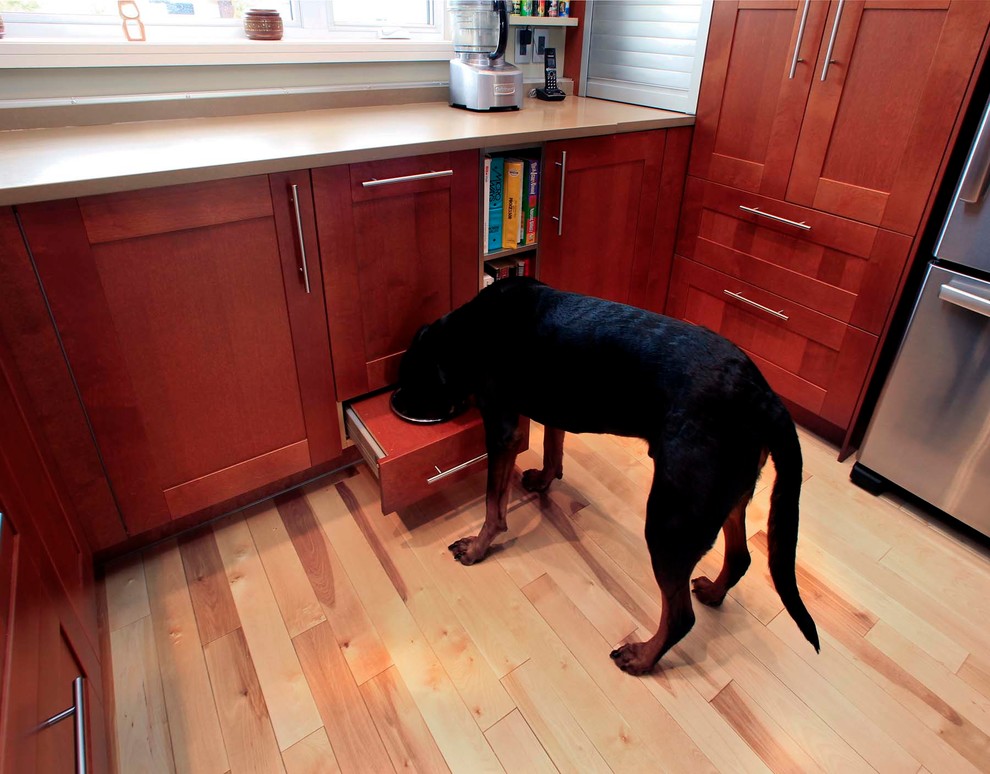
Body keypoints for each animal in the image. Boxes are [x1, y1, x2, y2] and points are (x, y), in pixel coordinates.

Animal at [398, 278, 820, 672]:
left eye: (408, 379)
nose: (397, 403)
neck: (468, 329)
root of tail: (765, 398)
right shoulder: (556, 405)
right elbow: (553, 445)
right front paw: (543, 481)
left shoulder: (502, 428)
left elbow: (492, 506)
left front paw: (476, 548)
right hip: (723, 495)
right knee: (739, 557)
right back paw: (714, 593)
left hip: (672, 517)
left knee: (680, 616)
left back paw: (643, 657)